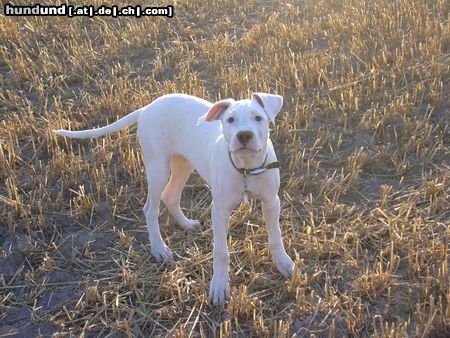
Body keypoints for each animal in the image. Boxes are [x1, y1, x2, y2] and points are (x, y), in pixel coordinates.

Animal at [54, 93, 296, 304]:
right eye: (230, 120)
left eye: (258, 118)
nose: (244, 135)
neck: (246, 168)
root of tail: (148, 107)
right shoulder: (219, 210)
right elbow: (221, 252)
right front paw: (219, 286)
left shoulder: (271, 201)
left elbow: (275, 237)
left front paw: (283, 263)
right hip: (158, 167)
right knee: (150, 209)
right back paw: (159, 249)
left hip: (183, 163)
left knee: (170, 195)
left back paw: (186, 224)